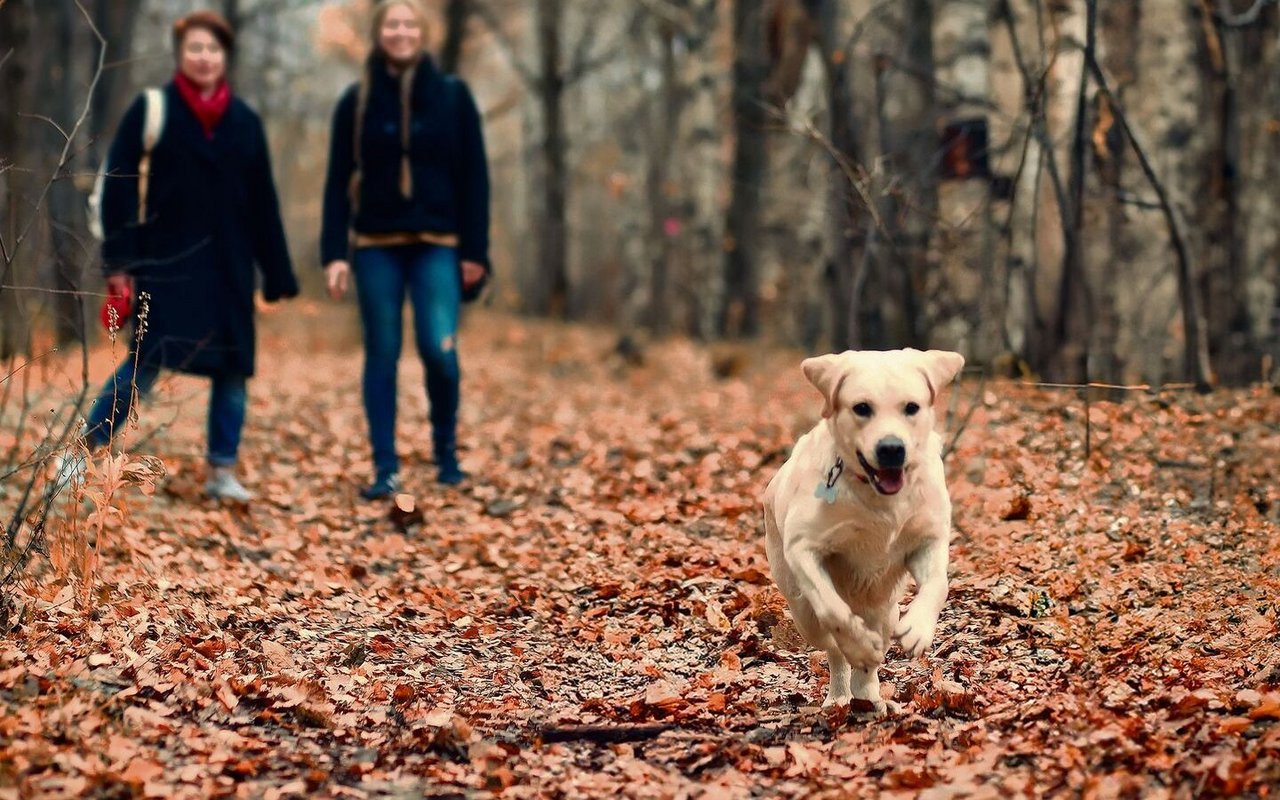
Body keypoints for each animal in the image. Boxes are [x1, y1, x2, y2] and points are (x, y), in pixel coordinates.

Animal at [757, 345, 962, 716]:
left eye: (912, 407)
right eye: (862, 408)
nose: (892, 449)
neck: (876, 496)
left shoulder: (928, 539)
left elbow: (939, 584)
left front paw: (918, 628)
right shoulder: (804, 548)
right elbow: (833, 611)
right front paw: (860, 648)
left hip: (885, 608)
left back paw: (870, 697)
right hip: (802, 610)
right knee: (832, 647)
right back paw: (841, 693)